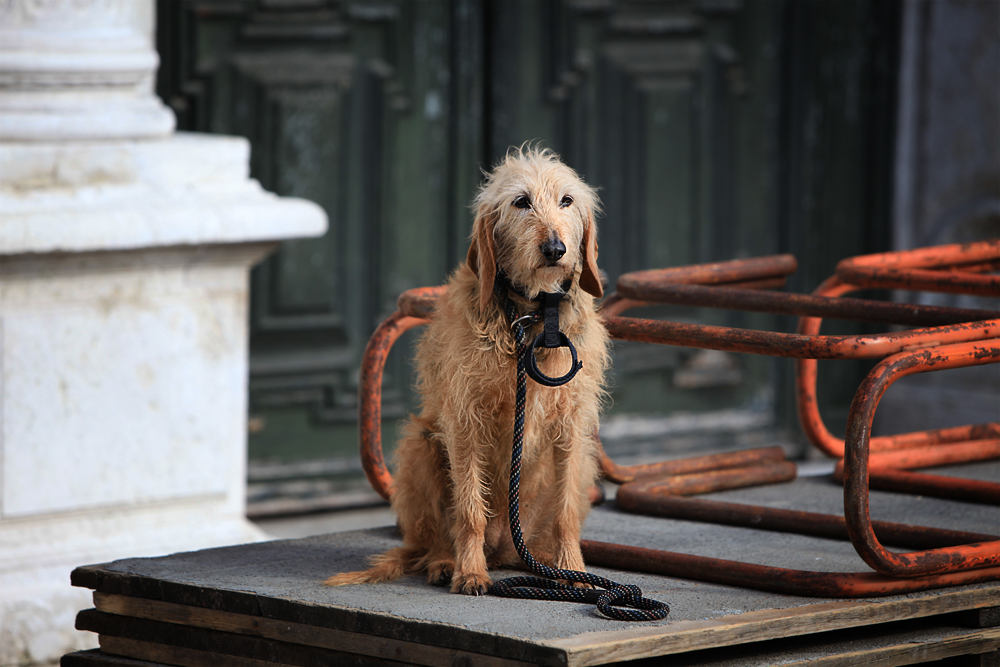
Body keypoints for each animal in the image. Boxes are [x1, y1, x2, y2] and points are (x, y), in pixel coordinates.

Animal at [328, 146, 608, 596]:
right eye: (521, 202)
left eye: (567, 201)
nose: (555, 248)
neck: (530, 316)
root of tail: (504, 549)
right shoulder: (466, 423)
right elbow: (470, 508)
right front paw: (470, 572)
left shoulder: (571, 427)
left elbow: (566, 513)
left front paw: (575, 572)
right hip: (421, 442)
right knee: (433, 537)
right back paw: (447, 561)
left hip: (577, 469)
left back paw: (546, 563)